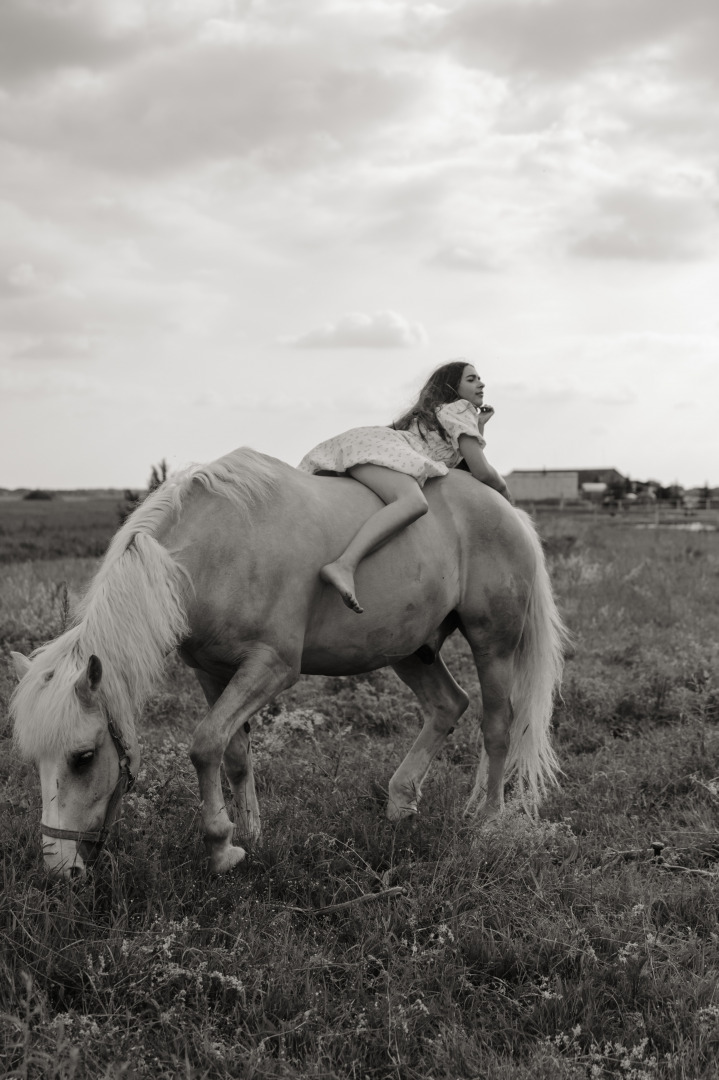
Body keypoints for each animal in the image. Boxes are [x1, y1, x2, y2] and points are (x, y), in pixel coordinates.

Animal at [7, 447, 565, 876]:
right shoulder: (212, 672)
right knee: (448, 706)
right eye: (35, 760)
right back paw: (400, 801)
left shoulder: (272, 668)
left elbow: (204, 745)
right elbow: (233, 751)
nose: (58, 868)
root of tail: (507, 510)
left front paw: (222, 848)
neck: (215, 550)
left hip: (493, 645)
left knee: (497, 726)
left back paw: (488, 822)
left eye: (83, 757)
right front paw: (251, 832)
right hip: (409, 649)